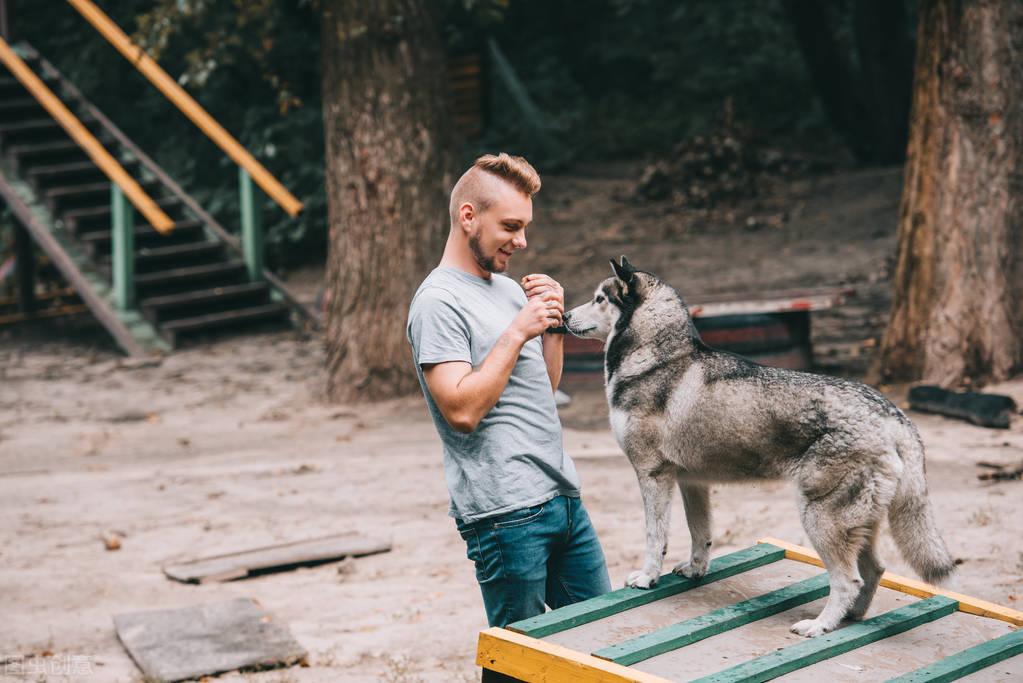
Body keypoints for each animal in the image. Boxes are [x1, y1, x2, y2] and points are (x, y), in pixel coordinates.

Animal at [564, 257, 953, 642]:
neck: (656, 357)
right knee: (874, 571)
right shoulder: (692, 482)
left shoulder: (652, 475)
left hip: (819, 519)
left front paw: (647, 577)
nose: (565, 316)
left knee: (848, 580)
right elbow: (700, 534)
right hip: (856, 525)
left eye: (599, 298)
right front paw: (694, 570)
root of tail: (892, 415)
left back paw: (820, 626)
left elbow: (654, 536)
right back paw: (851, 618)